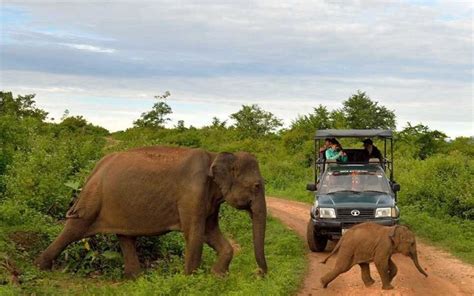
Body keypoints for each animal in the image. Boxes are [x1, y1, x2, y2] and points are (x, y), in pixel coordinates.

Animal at [34, 147, 266, 278]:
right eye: (257, 186)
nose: (259, 275)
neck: (215, 156)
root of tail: (96, 167)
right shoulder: (193, 193)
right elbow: (195, 234)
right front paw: (191, 281)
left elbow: (211, 233)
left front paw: (218, 277)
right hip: (92, 199)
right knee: (74, 228)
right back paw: (40, 267)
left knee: (125, 237)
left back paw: (135, 278)